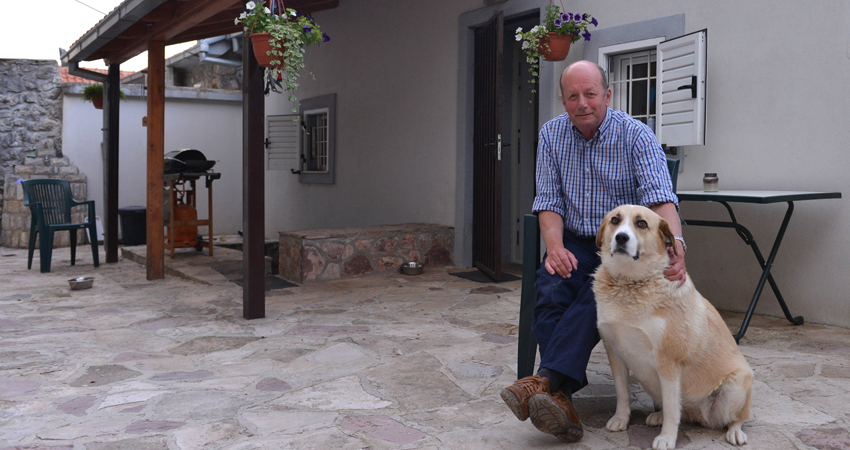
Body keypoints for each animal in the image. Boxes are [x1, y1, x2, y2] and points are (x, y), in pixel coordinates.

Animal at [592, 205, 753, 450]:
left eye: (641, 224)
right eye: (615, 220)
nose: (621, 237)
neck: (629, 284)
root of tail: (700, 416)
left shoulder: (668, 362)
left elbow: (670, 408)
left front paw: (667, 438)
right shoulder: (615, 352)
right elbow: (622, 393)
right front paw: (621, 419)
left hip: (736, 384)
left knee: (736, 418)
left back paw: (735, 433)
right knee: (680, 411)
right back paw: (658, 417)